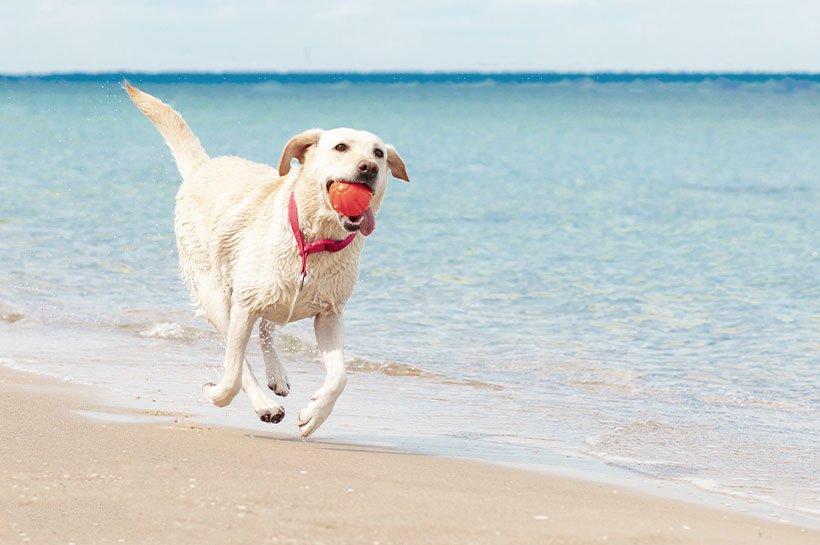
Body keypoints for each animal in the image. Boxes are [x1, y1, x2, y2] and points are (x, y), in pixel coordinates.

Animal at [125, 82, 410, 438]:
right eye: (341, 147)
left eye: (379, 154)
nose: (368, 168)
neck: (314, 241)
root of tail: (204, 167)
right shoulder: (243, 306)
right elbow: (234, 371)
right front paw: (217, 394)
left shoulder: (329, 314)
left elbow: (340, 378)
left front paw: (314, 414)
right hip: (215, 293)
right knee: (241, 347)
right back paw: (265, 404)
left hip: (273, 293)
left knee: (267, 328)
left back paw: (277, 376)